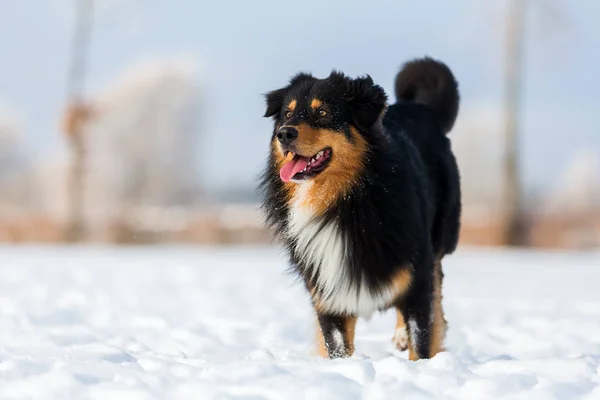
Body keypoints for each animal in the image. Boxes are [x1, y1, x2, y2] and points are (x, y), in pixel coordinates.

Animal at [260, 56, 462, 360]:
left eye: (323, 112)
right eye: (287, 114)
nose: (285, 133)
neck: (347, 202)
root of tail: (421, 109)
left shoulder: (417, 273)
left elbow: (422, 335)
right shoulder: (328, 289)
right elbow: (337, 345)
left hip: (438, 239)